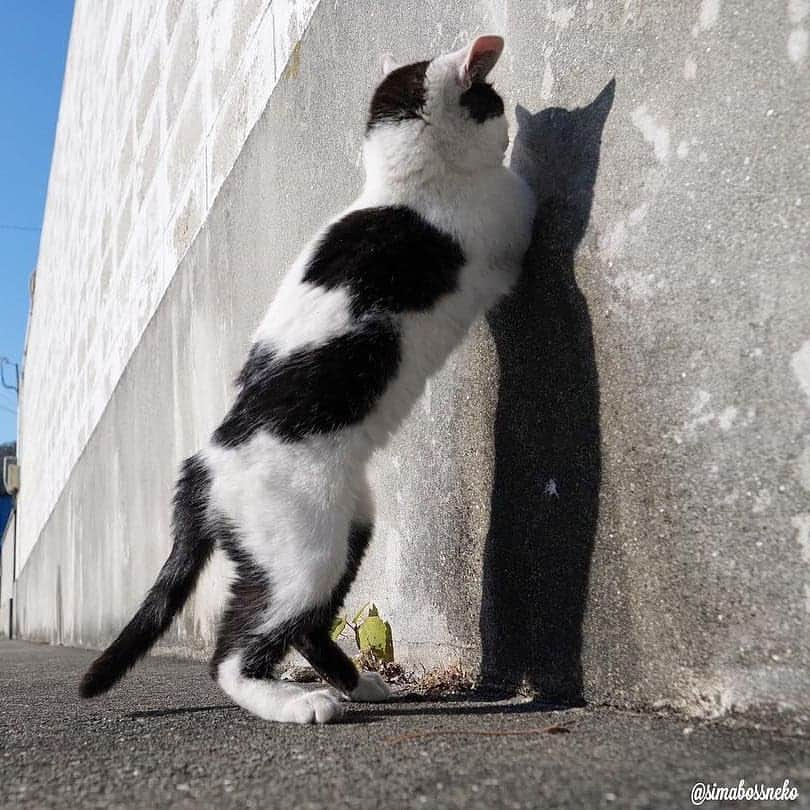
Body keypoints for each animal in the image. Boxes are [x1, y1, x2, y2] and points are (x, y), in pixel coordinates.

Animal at [80, 34, 536, 724]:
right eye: (494, 102)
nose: (510, 119)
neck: (399, 185)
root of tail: (202, 465)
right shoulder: (503, 223)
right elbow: (534, 205)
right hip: (304, 547)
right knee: (235, 651)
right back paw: (297, 703)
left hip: (351, 523)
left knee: (301, 622)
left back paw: (356, 681)